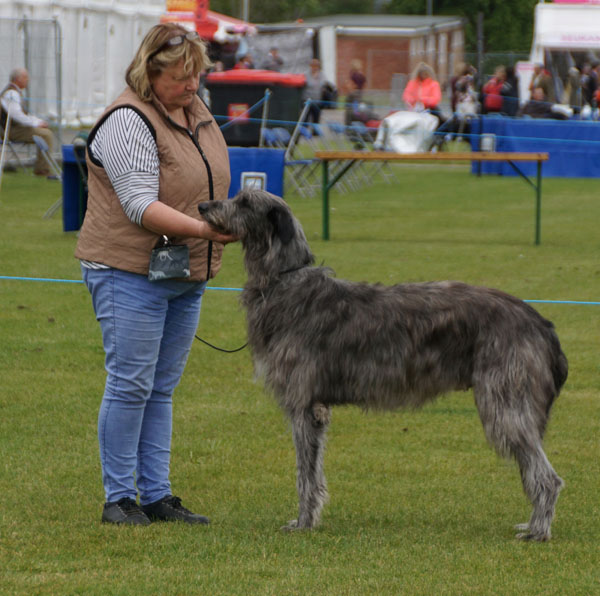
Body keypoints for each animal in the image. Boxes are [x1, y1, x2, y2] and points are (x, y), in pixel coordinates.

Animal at [199, 190, 568, 540]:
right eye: (237, 196)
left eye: (245, 202)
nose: (203, 206)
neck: (284, 282)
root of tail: (539, 321)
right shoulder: (316, 408)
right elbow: (313, 472)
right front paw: (308, 519)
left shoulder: (304, 405)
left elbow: (305, 474)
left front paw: (303, 523)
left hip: (505, 402)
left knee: (547, 477)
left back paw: (538, 530)